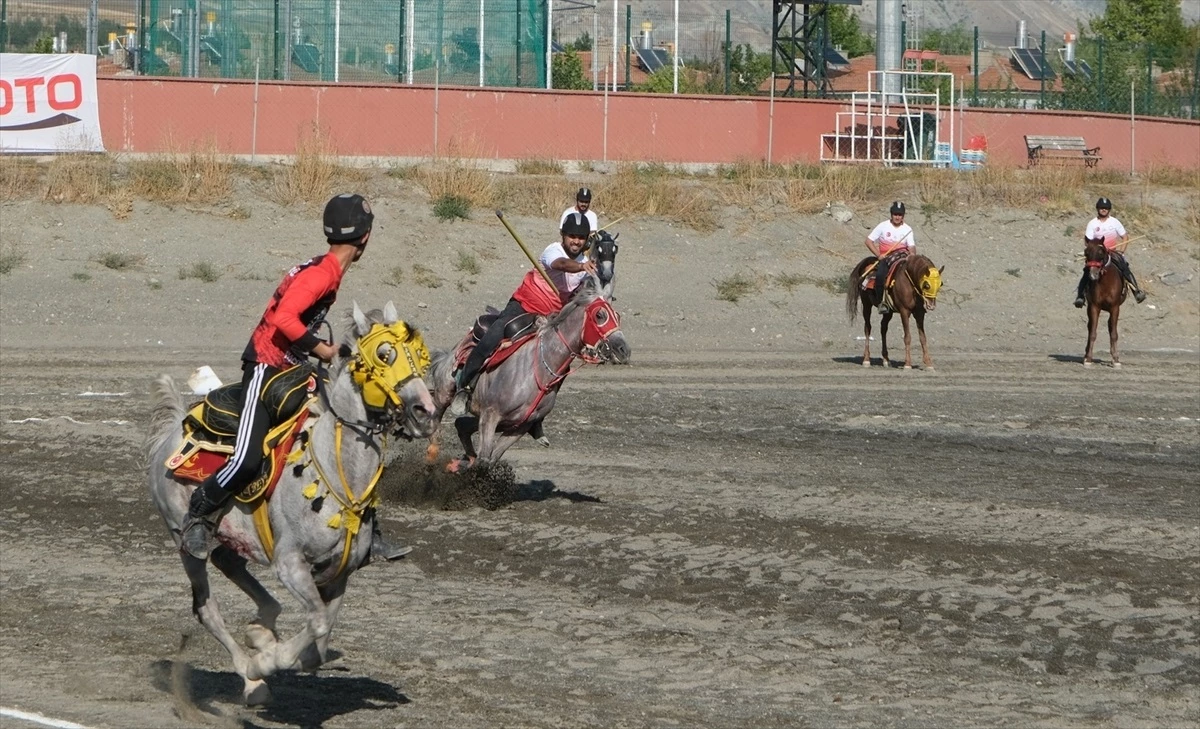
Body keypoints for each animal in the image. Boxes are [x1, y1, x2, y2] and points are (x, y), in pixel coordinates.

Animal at [145, 298, 436, 705]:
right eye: (384, 354)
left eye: (421, 356)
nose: (426, 411)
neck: (334, 468)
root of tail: (173, 431)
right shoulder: (290, 565)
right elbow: (316, 622)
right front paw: (264, 661)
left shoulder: (339, 574)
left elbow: (320, 641)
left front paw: (267, 643)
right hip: (182, 540)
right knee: (206, 607)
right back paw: (251, 678)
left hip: (233, 535)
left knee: (231, 566)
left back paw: (261, 628)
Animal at [1084, 236, 1128, 366]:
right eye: (1086, 253)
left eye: (1101, 252)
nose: (1093, 275)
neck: (1105, 283)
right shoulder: (1094, 307)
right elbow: (1093, 333)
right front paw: (1088, 358)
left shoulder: (1115, 308)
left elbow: (1114, 334)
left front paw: (1116, 359)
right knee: (1090, 327)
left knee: (1110, 327)